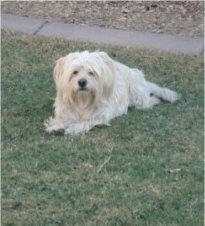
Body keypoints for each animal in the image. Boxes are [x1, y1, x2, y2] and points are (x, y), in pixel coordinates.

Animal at [44, 50, 179, 134]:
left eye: (91, 72)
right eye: (75, 72)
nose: (82, 82)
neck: (83, 100)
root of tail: (141, 79)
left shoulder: (101, 115)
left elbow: (86, 122)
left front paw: (74, 128)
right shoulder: (67, 111)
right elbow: (63, 119)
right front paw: (56, 126)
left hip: (137, 95)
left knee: (149, 100)